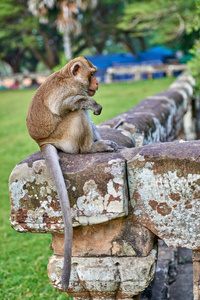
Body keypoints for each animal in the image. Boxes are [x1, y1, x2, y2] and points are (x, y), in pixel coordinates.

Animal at [26, 56, 118, 290]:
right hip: (65, 136)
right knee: (76, 113)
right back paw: (89, 148)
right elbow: (65, 105)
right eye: (92, 74)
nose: (97, 83)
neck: (68, 77)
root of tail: (42, 142)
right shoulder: (68, 90)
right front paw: (94, 104)